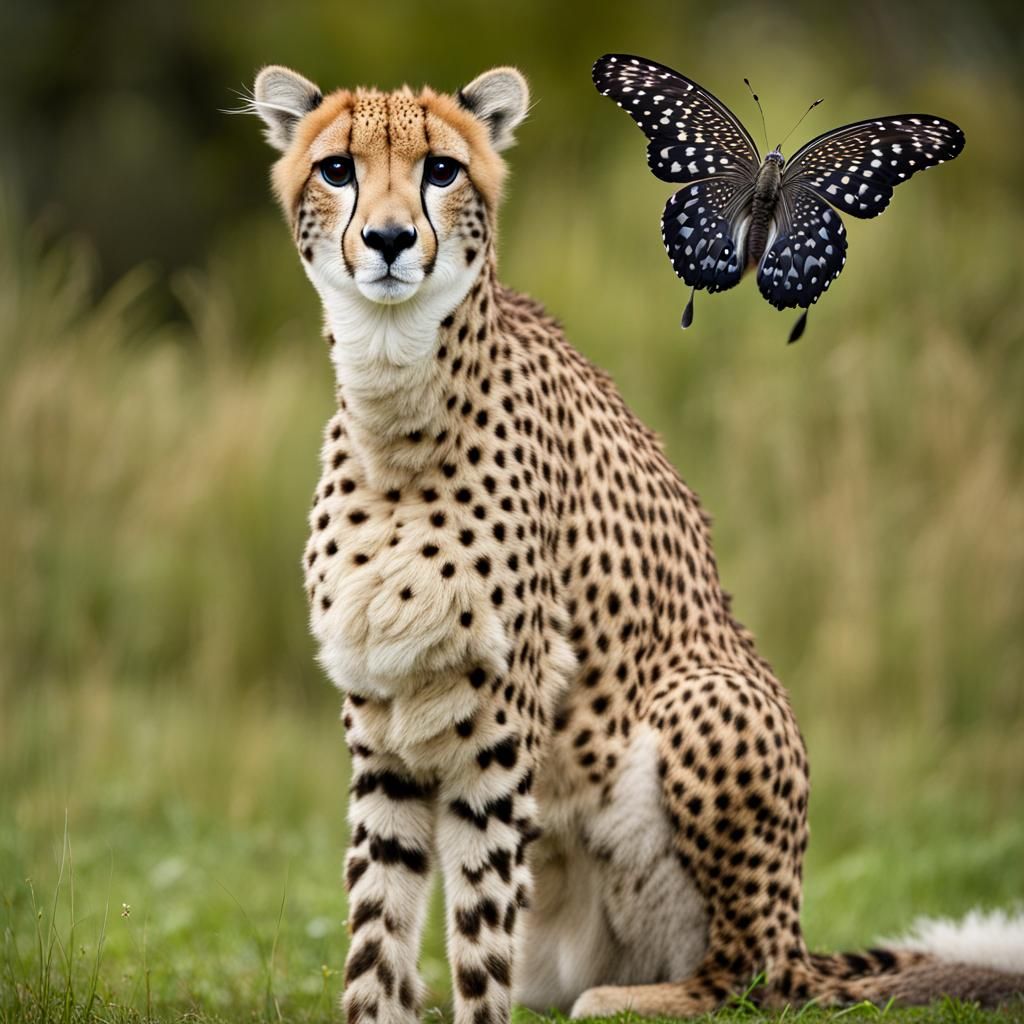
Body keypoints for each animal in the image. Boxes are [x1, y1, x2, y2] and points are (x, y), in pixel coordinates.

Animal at [249, 62, 1024, 1024]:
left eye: (440, 170)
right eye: (337, 170)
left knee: (754, 980)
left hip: (710, 699)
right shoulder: (382, 718)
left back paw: (637, 998)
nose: (389, 241)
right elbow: (377, 924)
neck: (397, 410)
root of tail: (802, 944)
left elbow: (478, 927)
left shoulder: (502, 718)